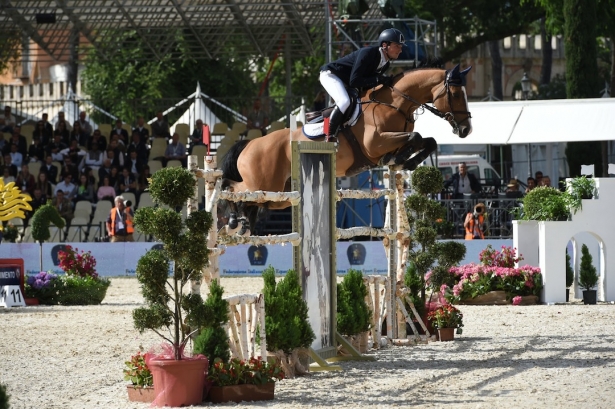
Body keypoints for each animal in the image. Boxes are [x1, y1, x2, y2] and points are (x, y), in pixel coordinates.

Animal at [220, 63, 472, 230]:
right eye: (456, 94)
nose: (466, 130)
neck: (395, 105)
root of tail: (251, 143)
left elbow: (427, 140)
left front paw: (408, 160)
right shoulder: (376, 143)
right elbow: (415, 136)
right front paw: (402, 158)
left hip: (279, 195)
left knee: (249, 199)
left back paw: (243, 222)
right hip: (265, 185)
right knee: (233, 187)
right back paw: (232, 218)